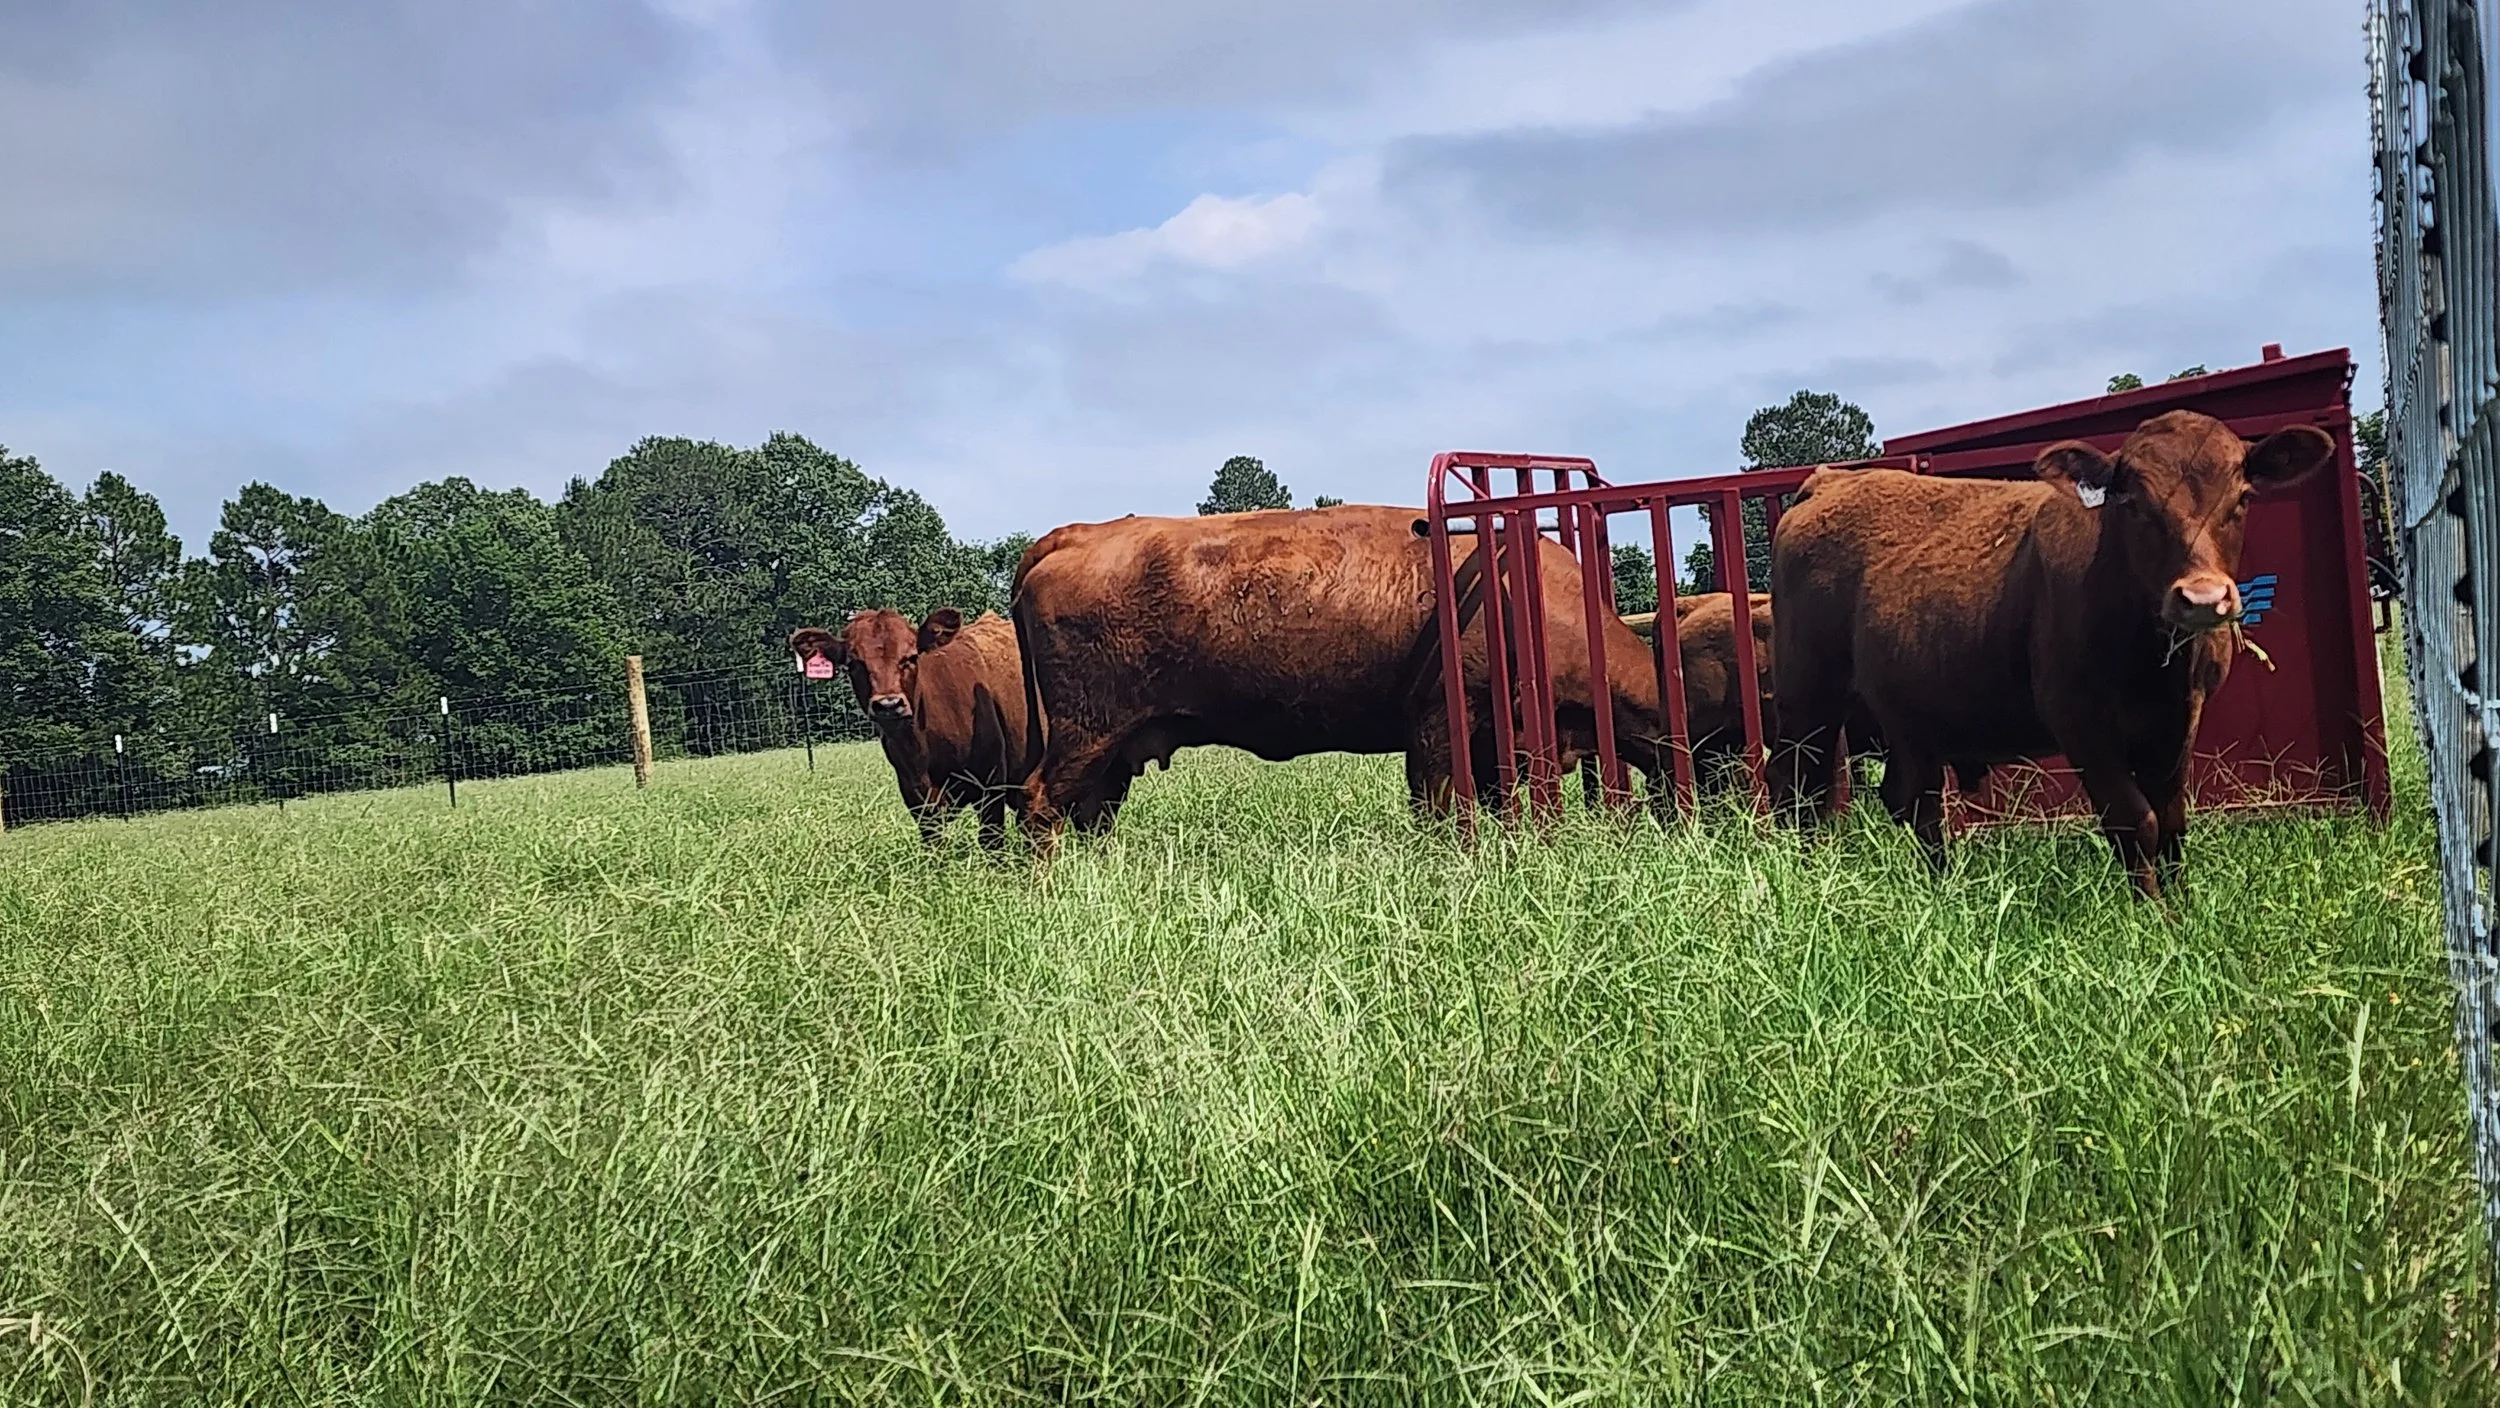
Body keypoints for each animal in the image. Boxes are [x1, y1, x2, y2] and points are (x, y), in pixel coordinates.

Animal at [788, 608, 1035, 849]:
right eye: (854, 664)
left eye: (911, 657)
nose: (888, 704)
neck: (922, 746)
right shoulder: (915, 794)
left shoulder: (990, 783)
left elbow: (991, 841)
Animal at [1006, 505, 1678, 841]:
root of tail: (1070, 536)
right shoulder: (1440, 726)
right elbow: (1438, 806)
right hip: (1088, 731)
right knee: (1041, 801)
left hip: (1114, 748)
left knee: (1087, 810)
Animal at [1766, 409, 2336, 896]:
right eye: (2133, 503)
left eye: (2242, 498)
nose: (2200, 598)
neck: (2152, 665)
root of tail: (1832, 480)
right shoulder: (2076, 717)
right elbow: (2135, 820)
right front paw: (2153, 922)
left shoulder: (2182, 715)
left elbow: (2172, 821)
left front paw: (2183, 914)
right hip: (1808, 698)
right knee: (1797, 788)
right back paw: (1804, 884)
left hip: (1910, 712)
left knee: (1913, 802)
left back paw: (1943, 891)